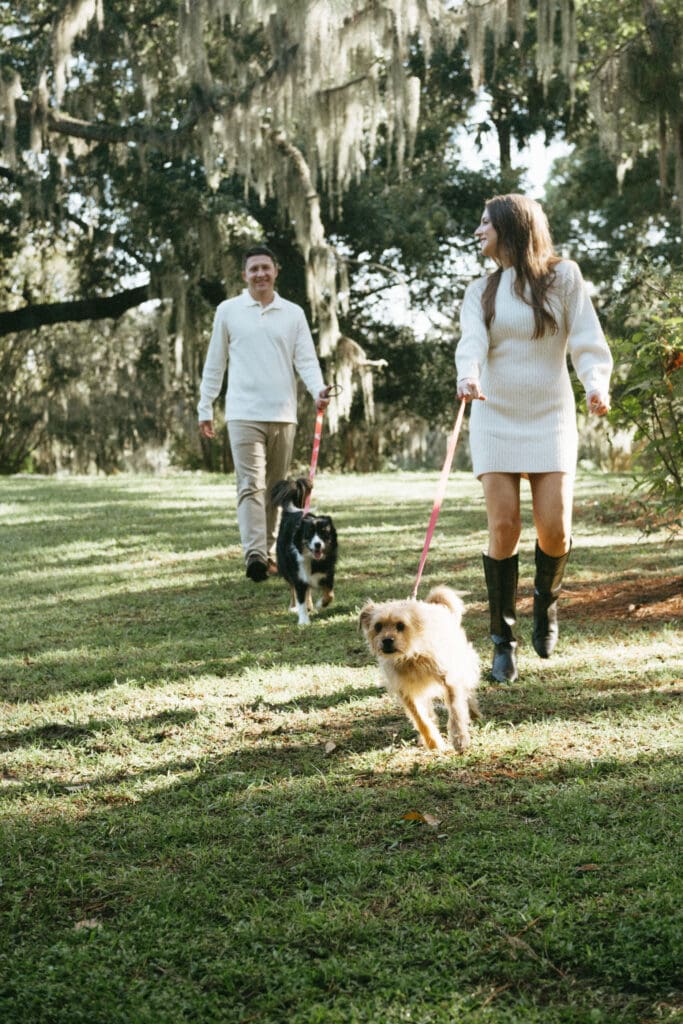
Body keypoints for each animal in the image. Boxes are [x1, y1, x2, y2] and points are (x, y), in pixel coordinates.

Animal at [270, 477, 337, 622]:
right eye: (309, 534)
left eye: (324, 533)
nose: (317, 545)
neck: (312, 560)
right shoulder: (298, 575)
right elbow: (300, 594)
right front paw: (304, 621)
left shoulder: (327, 573)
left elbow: (329, 594)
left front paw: (320, 603)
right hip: (285, 567)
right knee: (292, 588)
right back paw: (293, 606)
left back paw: (310, 605)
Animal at [358, 585, 481, 753]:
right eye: (378, 626)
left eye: (400, 625)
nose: (387, 640)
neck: (411, 657)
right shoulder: (407, 693)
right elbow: (421, 719)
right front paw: (433, 743)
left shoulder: (449, 680)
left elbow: (456, 709)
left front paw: (459, 738)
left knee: (467, 690)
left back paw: (474, 712)